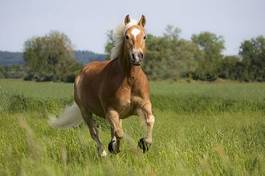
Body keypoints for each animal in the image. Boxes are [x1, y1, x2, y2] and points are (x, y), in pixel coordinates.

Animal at [49, 14, 155, 156]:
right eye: (126, 36)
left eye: (144, 36)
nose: (136, 57)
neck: (129, 80)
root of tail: (81, 73)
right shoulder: (111, 111)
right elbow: (119, 133)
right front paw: (114, 147)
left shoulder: (143, 105)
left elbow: (150, 120)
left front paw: (145, 143)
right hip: (85, 111)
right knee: (94, 132)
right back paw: (103, 153)